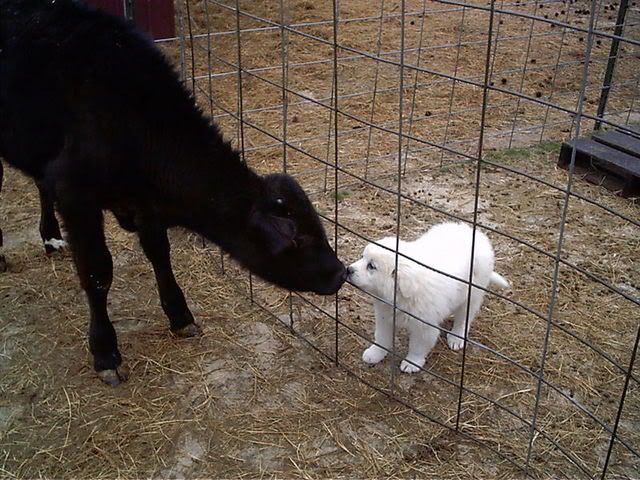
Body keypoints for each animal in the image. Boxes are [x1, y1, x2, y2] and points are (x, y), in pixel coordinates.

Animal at [0, 0, 346, 385]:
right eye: (296, 238)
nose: (339, 272)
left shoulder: (144, 203)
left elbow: (159, 253)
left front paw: (180, 316)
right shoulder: (76, 196)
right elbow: (98, 272)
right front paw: (105, 352)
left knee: (39, 184)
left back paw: (51, 237)